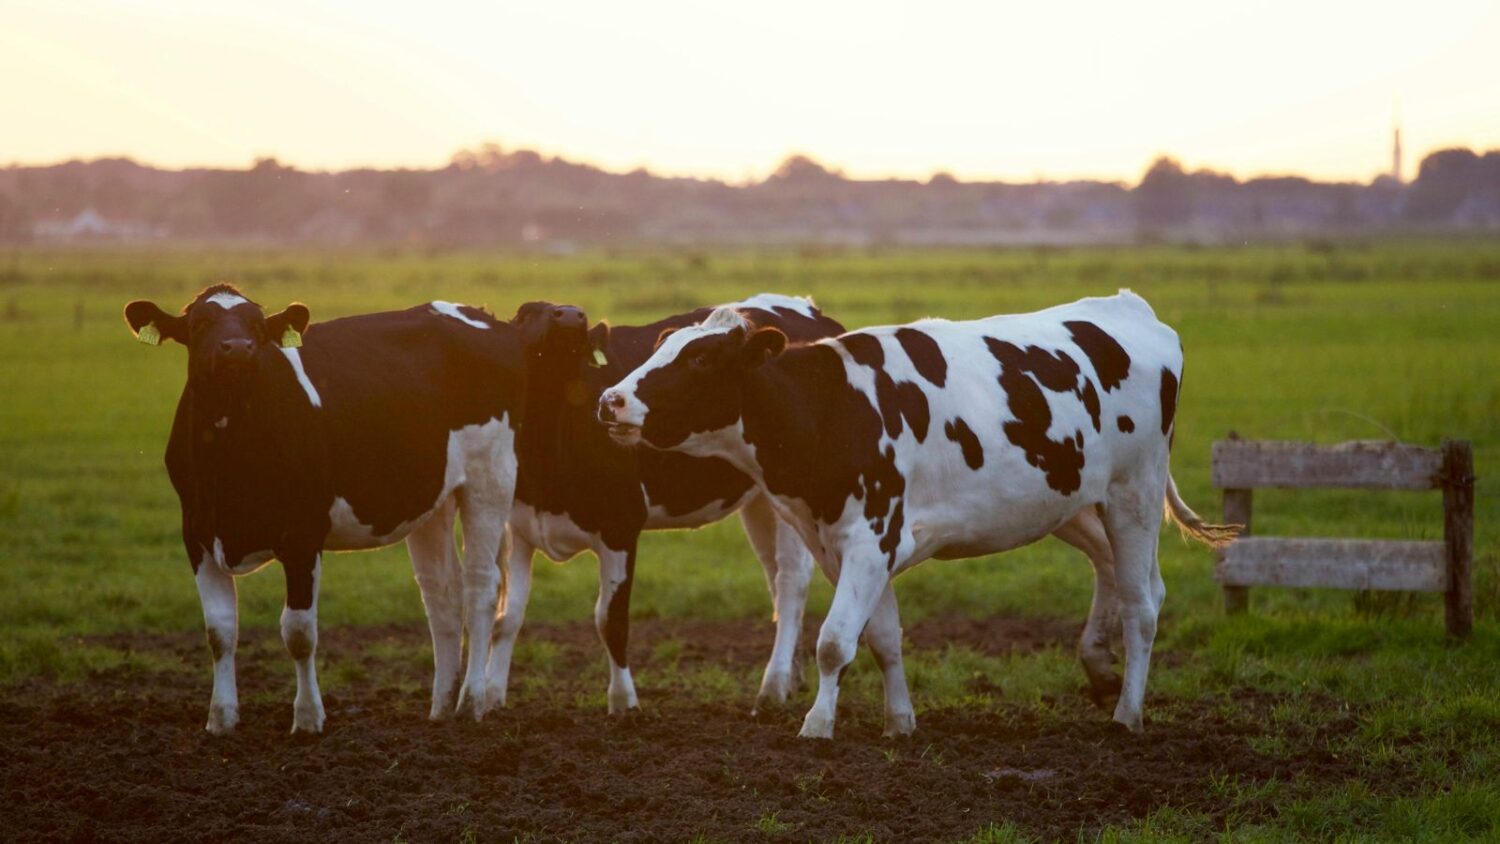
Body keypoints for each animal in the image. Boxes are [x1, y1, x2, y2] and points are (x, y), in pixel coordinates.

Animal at [124, 285, 529, 734]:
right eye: (200, 324)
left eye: (257, 327)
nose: (238, 349)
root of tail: (480, 314)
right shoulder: (196, 535)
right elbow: (219, 631)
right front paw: (221, 719)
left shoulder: (303, 536)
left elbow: (299, 633)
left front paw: (307, 718)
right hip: (433, 498)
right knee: (442, 594)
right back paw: (440, 706)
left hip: (490, 478)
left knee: (481, 587)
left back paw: (470, 702)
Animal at [489, 294, 845, 714]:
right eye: (526, 313)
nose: (572, 315)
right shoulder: (519, 527)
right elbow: (507, 617)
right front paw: (487, 697)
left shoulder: (621, 525)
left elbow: (611, 620)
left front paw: (624, 703)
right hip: (762, 501)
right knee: (774, 577)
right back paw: (791, 677)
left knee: (791, 582)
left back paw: (773, 687)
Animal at [599, 290, 1238, 738]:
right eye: (661, 347)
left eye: (701, 359)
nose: (610, 400)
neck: (832, 408)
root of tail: (1129, 308)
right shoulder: (849, 546)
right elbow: (882, 638)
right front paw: (899, 722)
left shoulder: (870, 538)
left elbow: (834, 641)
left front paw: (817, 725)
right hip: (1073, 501)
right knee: (1124, 576)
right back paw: (1101, 670)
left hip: (1134, 493)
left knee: (1142, 605)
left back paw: (1128, 713)